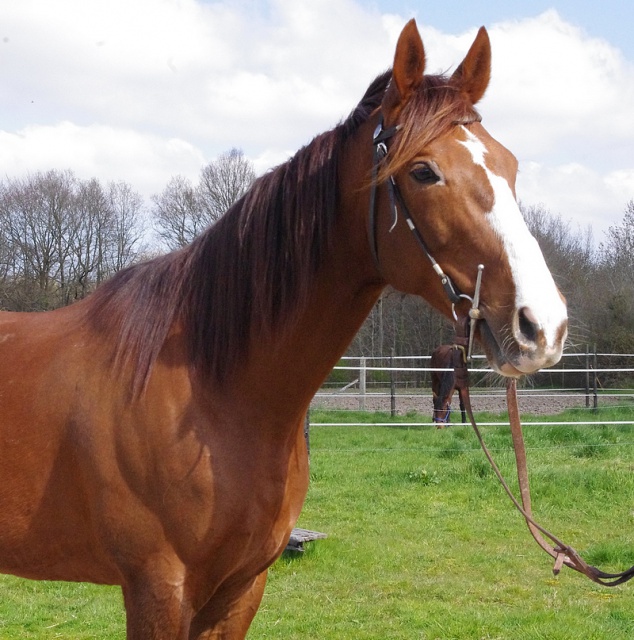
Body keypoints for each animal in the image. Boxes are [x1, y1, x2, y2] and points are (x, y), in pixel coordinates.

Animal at [0, 20, 564, 640]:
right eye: (423, 170)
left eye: (510, 165)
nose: (543, 325)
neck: (212, 391)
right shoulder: (157, 591)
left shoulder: (240, 589)